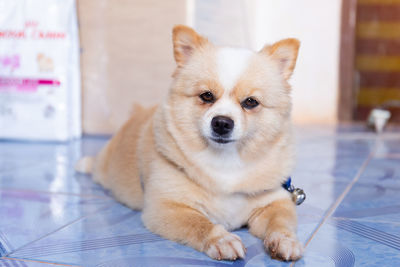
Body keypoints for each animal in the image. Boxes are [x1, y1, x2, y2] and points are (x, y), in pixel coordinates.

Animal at [76, 24, 304, 262]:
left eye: (251, 102)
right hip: (105, 168)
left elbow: (281, 223)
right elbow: (200, 224)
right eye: (206, 96)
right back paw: (84, 163)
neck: (225, 161)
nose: (222, 123)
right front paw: (221, 240)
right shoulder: (167, 208)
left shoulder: (275, 202)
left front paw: (285, 240)